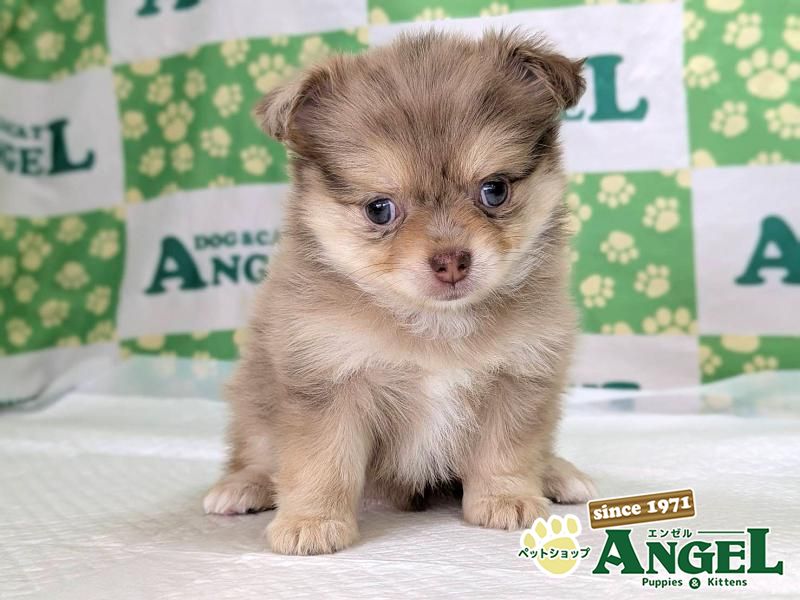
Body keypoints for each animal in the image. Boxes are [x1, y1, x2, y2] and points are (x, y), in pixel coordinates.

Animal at [204, 29, 596, 555]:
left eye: (494, 190)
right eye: (379, 209)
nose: (451, 260)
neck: (433, 326)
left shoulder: (521, 374)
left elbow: (506, 449)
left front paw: (507, 498)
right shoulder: (326, 379)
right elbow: (321, 462)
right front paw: (312, 521)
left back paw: (558, 474)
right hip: (254, 395)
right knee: (256, 451)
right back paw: (243, 485)